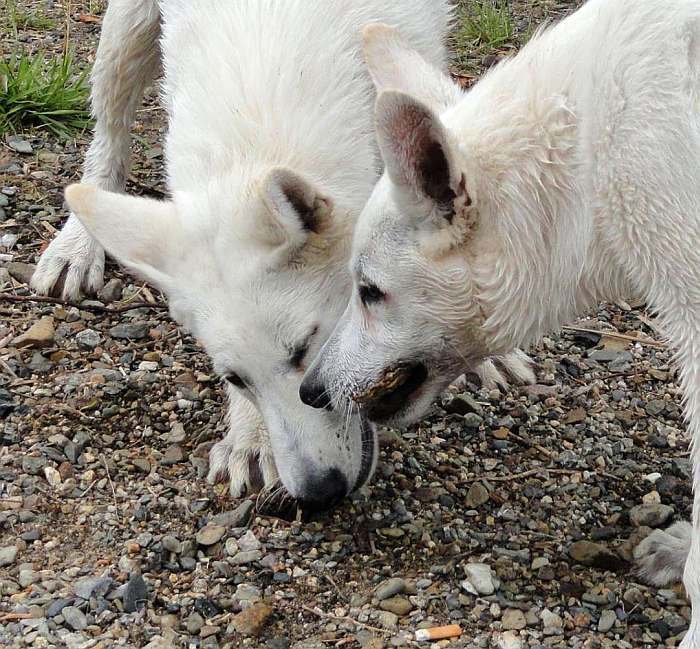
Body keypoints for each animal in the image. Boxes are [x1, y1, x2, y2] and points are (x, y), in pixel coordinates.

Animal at [37, 0, 532, 506]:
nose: (319, 493)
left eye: (303, 350)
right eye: (235, 379)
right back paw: (77, 245)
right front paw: (252, 438)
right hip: (129, 30)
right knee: (108, 135)